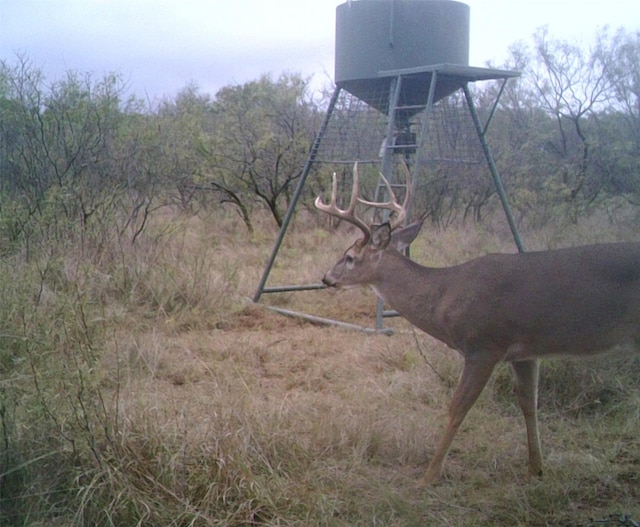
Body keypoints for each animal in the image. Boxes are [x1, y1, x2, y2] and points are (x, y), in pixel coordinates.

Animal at [316, 162, 640, 486]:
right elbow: (529, 403)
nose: (326, 277)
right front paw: (535, 468)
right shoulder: (525, 351)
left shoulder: (484, 346)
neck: (445, 297)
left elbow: (457, 407)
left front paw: (429, 475)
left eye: (349, 257)